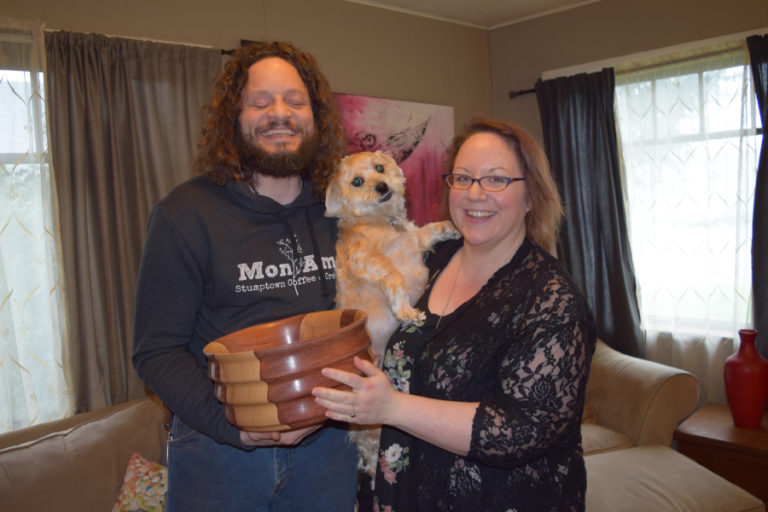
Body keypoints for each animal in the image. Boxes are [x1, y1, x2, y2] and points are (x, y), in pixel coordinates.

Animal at [322, 150, 456, 478]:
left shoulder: (415, 240)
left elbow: (432, 229)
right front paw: (407, 310)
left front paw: (453, 227)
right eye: (357, 182)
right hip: (372, 433)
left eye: (379, 168)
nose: (382, 186)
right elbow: (394, 277)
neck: (381, 221)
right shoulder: (369, 261)